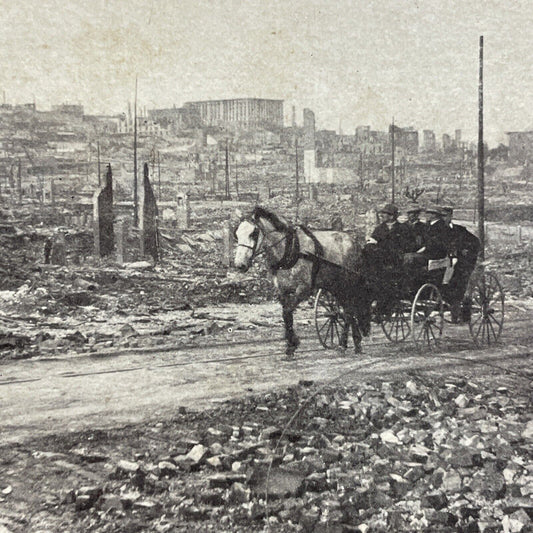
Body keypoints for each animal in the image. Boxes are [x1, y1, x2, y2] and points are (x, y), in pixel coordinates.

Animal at [233, 206, 370, 356]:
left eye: (254, 233)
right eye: (237, 234)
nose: (240, 264)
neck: (290, 250)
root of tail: (355, 242)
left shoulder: (303, 289)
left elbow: (287, 311)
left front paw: (293, 343)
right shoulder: (283, 291)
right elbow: (286, 315)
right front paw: (290, 346)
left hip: (347, 284)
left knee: (349, 311)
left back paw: (347, 343)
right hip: (336, 286)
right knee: (347, 311)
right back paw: (352, 343)